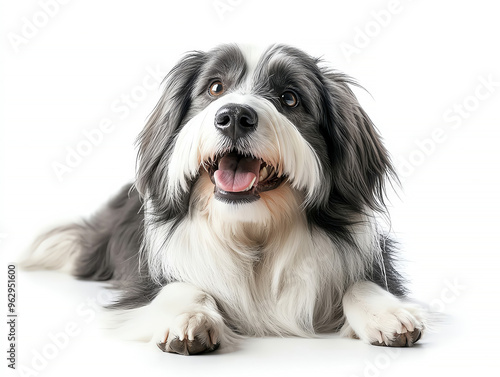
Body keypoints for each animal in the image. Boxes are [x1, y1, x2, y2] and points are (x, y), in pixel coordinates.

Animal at [23, 44, 426, 356]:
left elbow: (362, 282)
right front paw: (190, 318)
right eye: (215, 87)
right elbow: (179, 286)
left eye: (289, 98)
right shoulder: (143, 275)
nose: (234, 116)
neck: (252, 228)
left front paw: (388, 314)